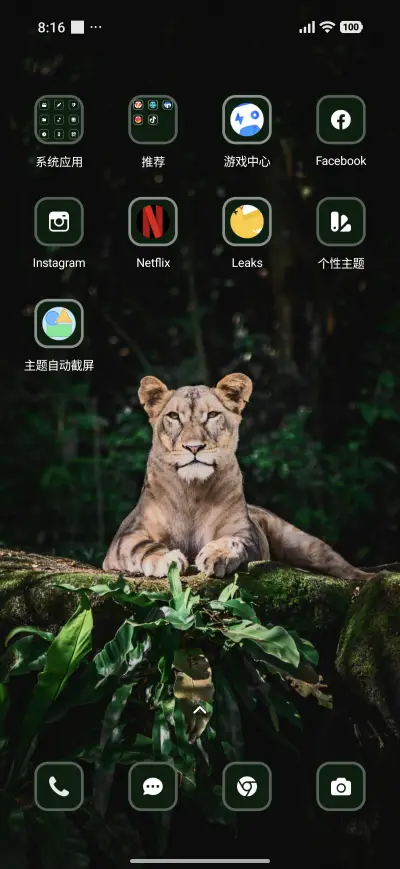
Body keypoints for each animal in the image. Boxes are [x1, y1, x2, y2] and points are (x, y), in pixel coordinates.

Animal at [103, 373, 375, 583]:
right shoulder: (125, 536)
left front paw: (217, 556)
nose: (193, 447)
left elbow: (233, 542)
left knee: (342, 566)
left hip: (304, 544)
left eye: (212, 415)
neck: (192, 491)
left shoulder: (245, 534)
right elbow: (142, 546)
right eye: (174, 417)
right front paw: (167, 559)